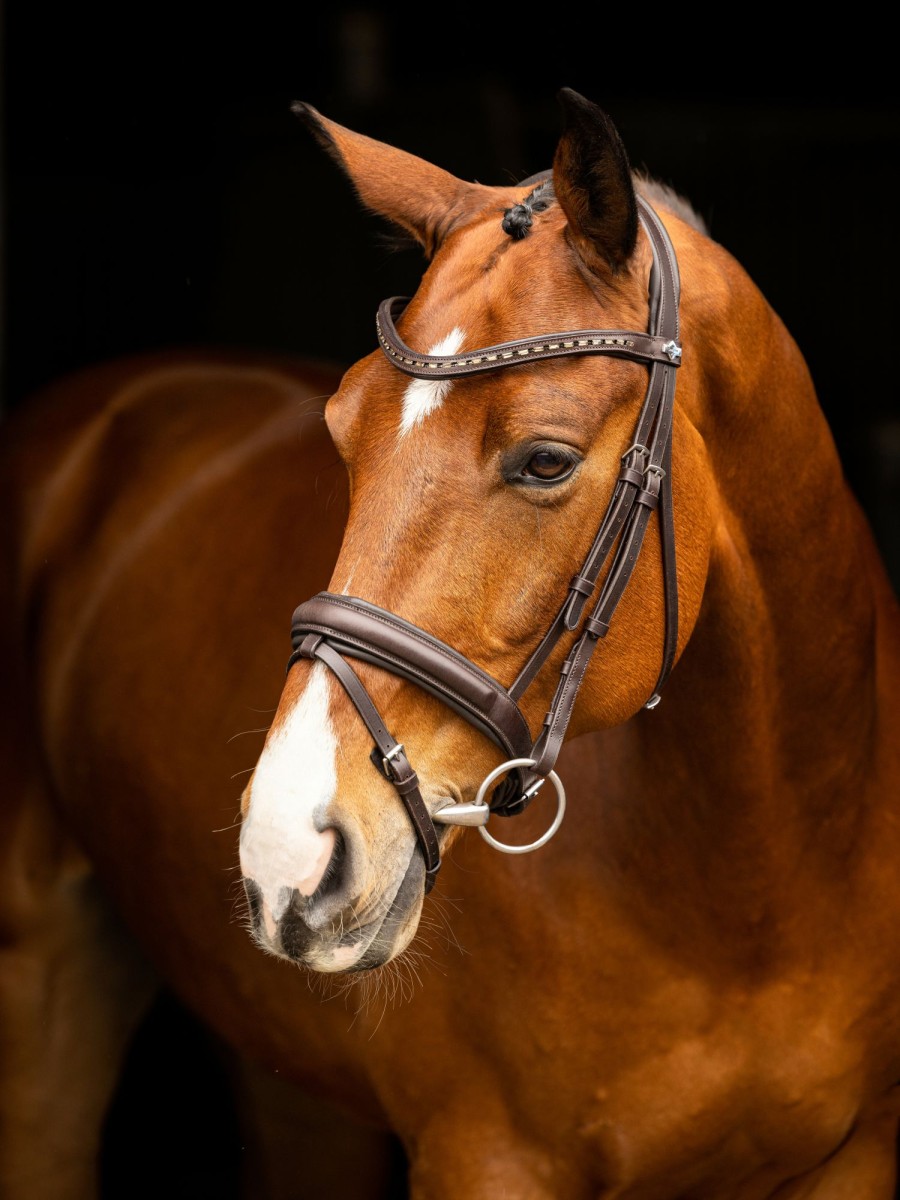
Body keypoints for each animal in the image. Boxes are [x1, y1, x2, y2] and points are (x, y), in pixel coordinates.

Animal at [1, 87, 900, 1200]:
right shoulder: (489, 1157)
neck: (753, 893)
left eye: (547, 459)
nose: (288, 851)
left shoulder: (857, 1157)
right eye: (342, 432)